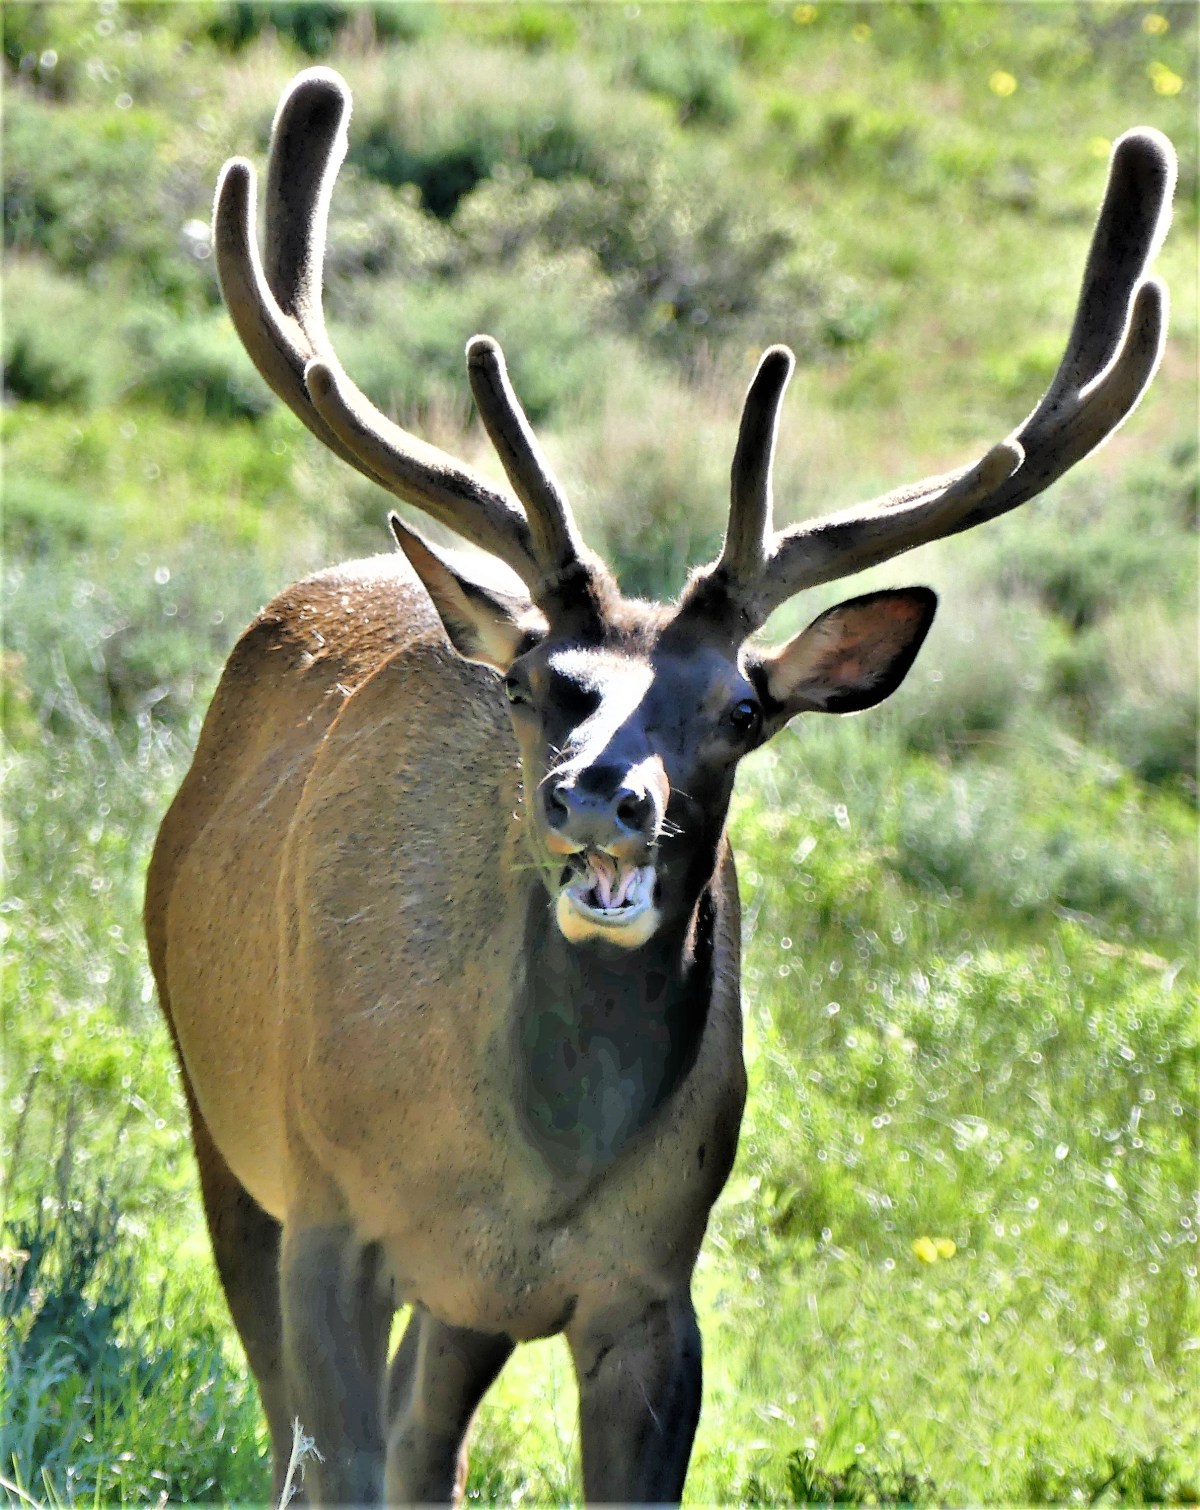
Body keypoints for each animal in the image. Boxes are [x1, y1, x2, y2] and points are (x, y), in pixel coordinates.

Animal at [144, 66, 1174, 1505]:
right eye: (539, 683)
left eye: (742, 710)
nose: (599, 799)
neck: (527, 1164)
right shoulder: (329, 1210)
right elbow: (323, 1459)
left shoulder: (649, 1284)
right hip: (220, 1110)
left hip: (460, 1297)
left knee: (424, 1440)